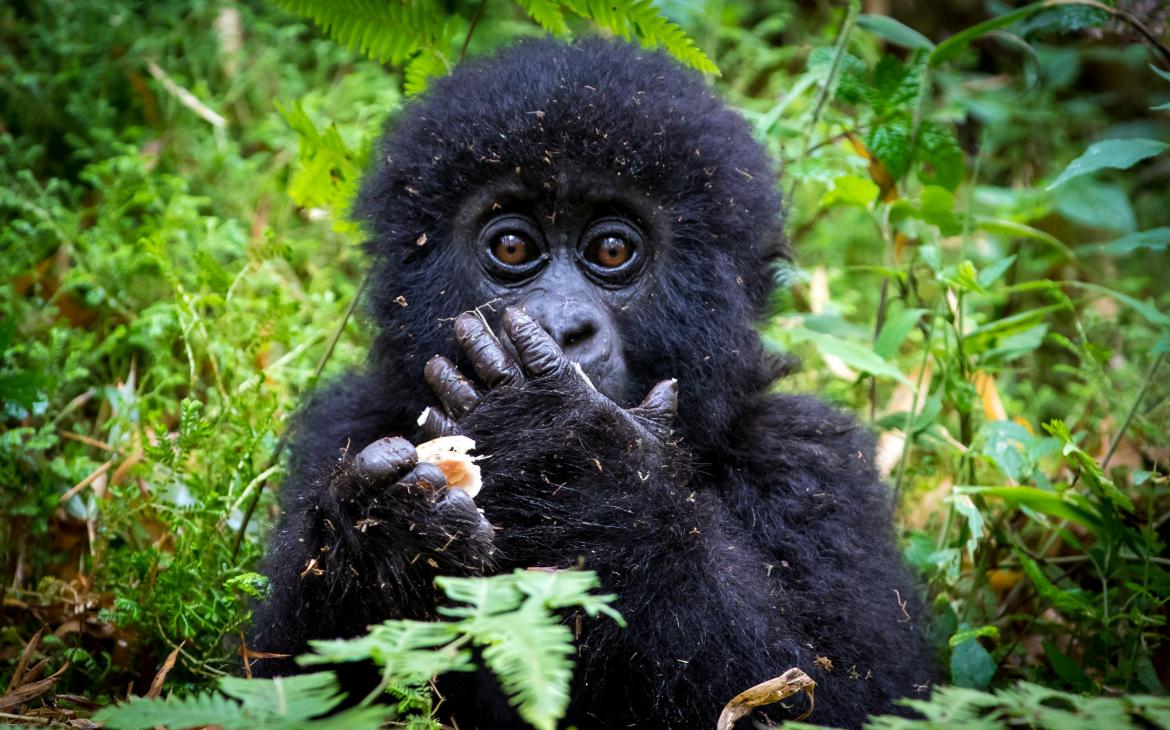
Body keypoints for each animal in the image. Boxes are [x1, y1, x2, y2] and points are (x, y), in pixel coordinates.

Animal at [251, 37, 935, 725]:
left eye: (611, 250)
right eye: (512, 247)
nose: (561, 325)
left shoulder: (813, 463)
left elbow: (831, 693)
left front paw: (565, 450)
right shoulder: (342, 424)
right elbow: (274, 679)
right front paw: (380, 541)